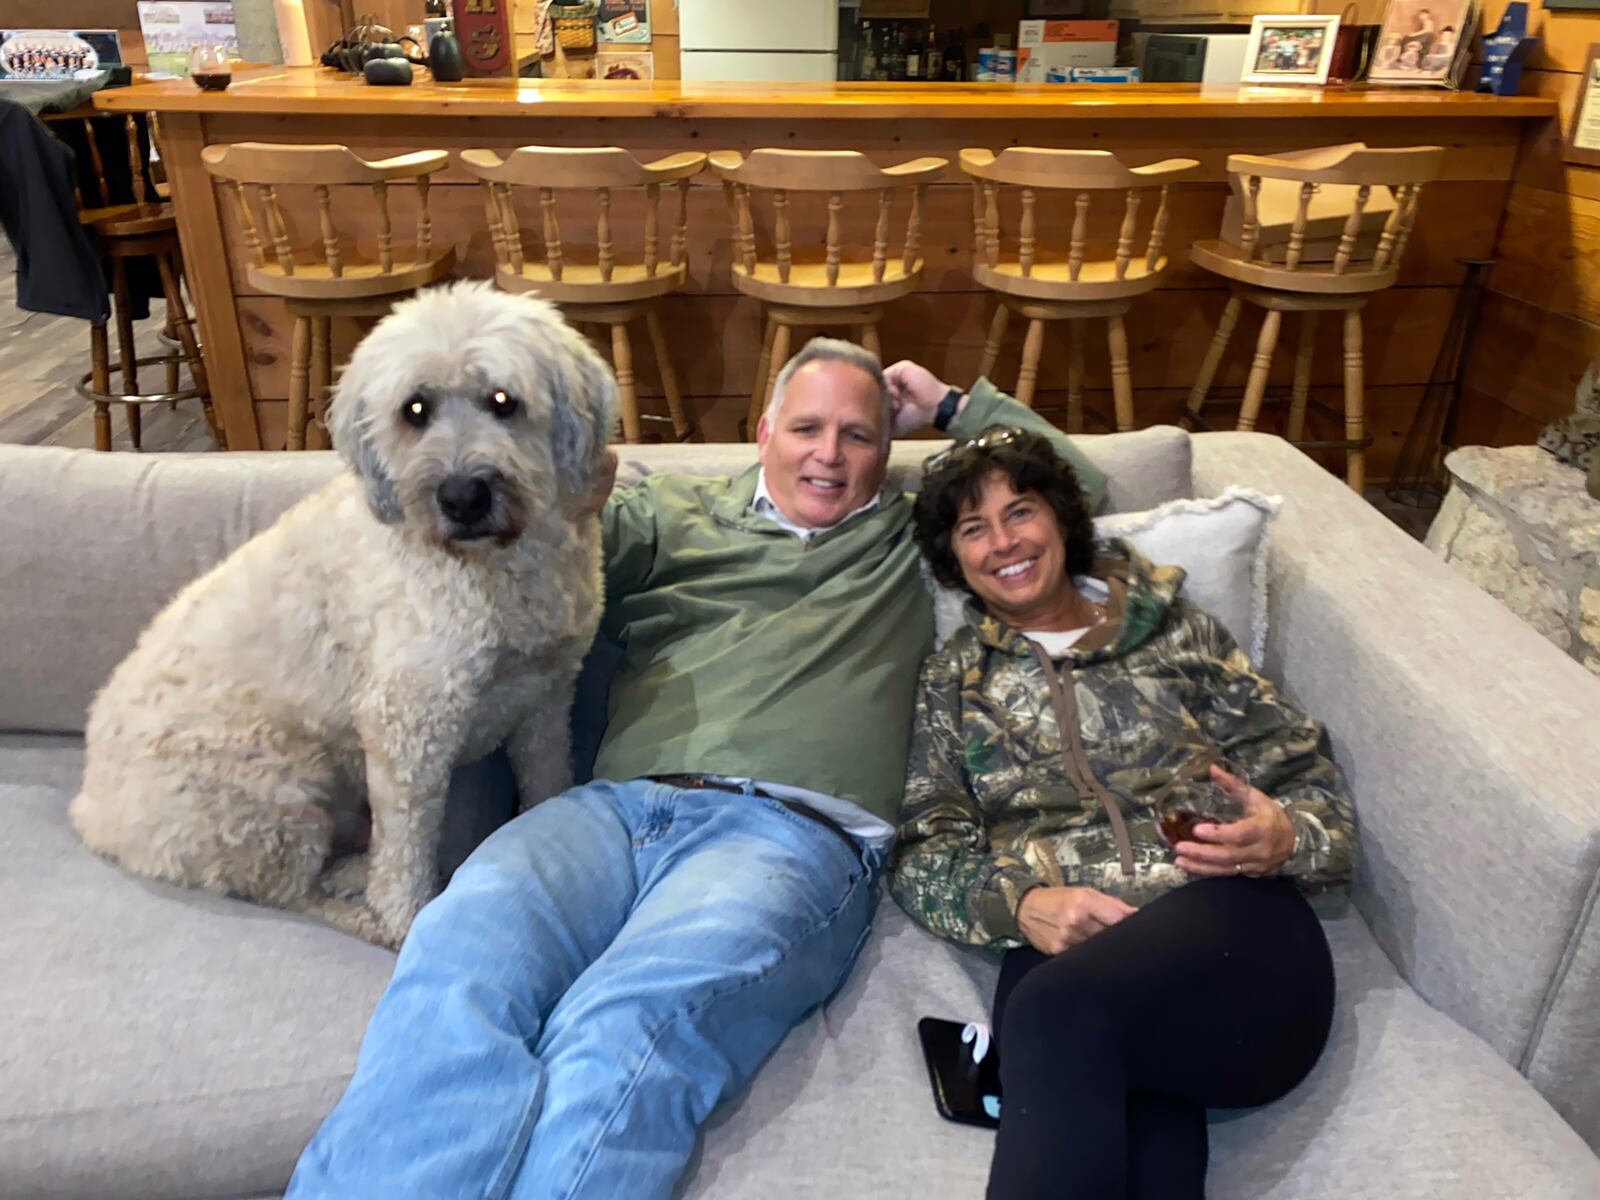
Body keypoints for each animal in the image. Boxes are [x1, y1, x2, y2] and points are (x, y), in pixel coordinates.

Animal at [72, 281, 614, 947]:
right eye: (414, 410)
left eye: (503, 401)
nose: (462, 498)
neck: (493, 565)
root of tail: (92, 813)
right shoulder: (409, 727)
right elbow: (405, 849)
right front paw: (405, 921)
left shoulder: (544, 700)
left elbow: (546, 782)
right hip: (277, 799)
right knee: (292, 891)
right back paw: (363, 913)